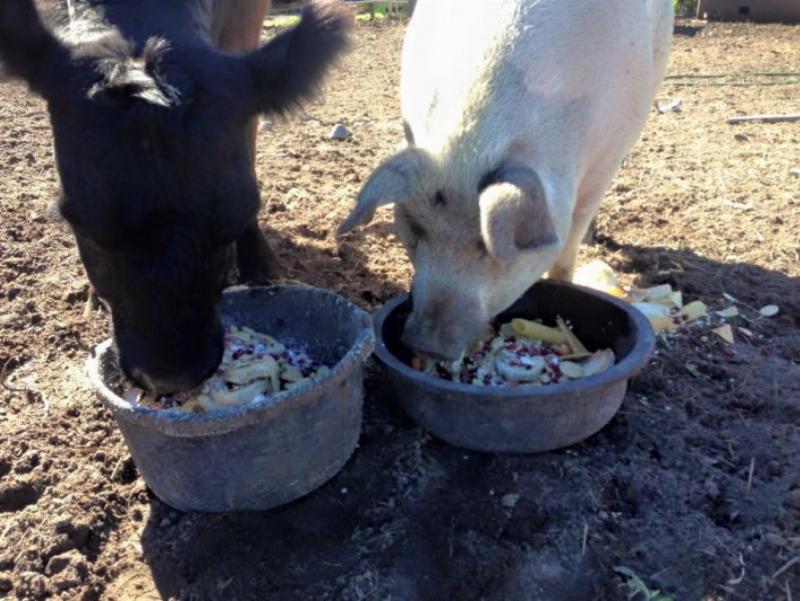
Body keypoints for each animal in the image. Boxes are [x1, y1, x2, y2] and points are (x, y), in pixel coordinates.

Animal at [339, 0, 673, 360]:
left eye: (486, 246)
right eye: (415, 229)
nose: (425, 345)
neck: (473, 147)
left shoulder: (607, 156)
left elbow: (571, 239)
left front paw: (566, 282)